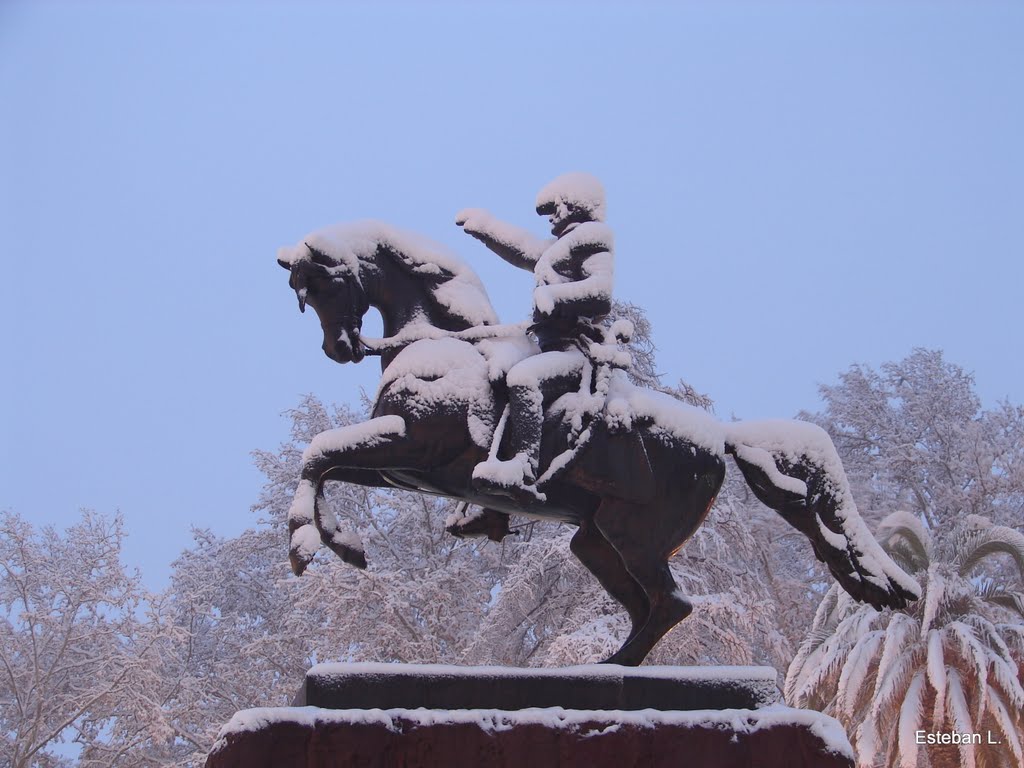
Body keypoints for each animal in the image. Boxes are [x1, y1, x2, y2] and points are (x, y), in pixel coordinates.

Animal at [274, 219, 921, 663]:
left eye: (324, 283)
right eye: (301, 292)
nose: (339, 349)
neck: (441, 344)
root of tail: (720, 439)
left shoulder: (410, 444)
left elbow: (317, 453)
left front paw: (305, 545)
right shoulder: (400, 468)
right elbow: (325, 465)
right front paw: (343, 543)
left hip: (634, 537)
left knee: (671, 603)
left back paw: (614, 670)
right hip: (596, 541)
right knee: (647, 606)